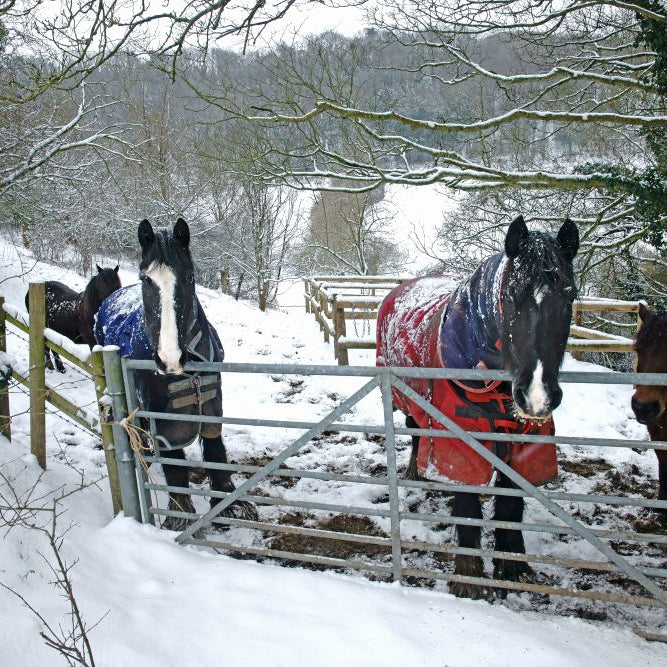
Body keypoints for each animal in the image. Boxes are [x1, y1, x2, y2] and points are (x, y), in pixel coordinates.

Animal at [94, 218, 256, 531]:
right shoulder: (166, 420)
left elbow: (215, 450)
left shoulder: (211, 404)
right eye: (146, 279)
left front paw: (230, 505)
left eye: (190, 276)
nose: (170, 359)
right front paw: (180, 515)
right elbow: (174, 465)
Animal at [376, 215, 579, 600]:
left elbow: (510, 505)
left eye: (570, 295)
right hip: (408, 400)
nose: (537, 396)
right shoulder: (459, 442)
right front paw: (468, 576)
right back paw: (416, 472)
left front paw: (512, 567)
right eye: (511, 296)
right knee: (415, 431)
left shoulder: (524, 445)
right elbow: (468, 506)